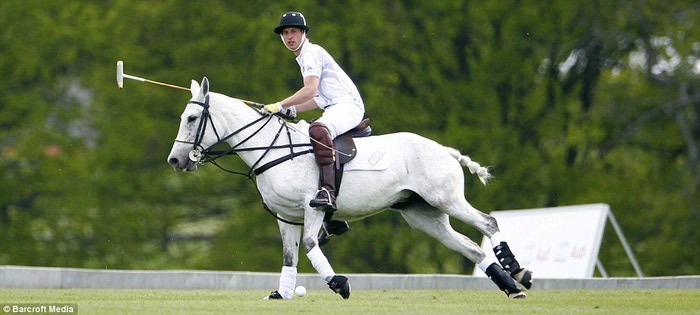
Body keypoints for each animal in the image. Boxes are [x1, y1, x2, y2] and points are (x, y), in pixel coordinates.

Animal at [167, 78, 532, 300]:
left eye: (191, 119)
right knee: (472, 249)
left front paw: (338, 283)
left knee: (488, 223)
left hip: (446, 198)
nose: (175, 160)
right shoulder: (286, 216)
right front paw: (282, 293)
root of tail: (444, 149)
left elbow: (311, 244)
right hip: (423, 214)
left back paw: (517, 270)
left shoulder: (312, 206)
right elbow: (289, 255)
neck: (270, 148)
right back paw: (510, 286)